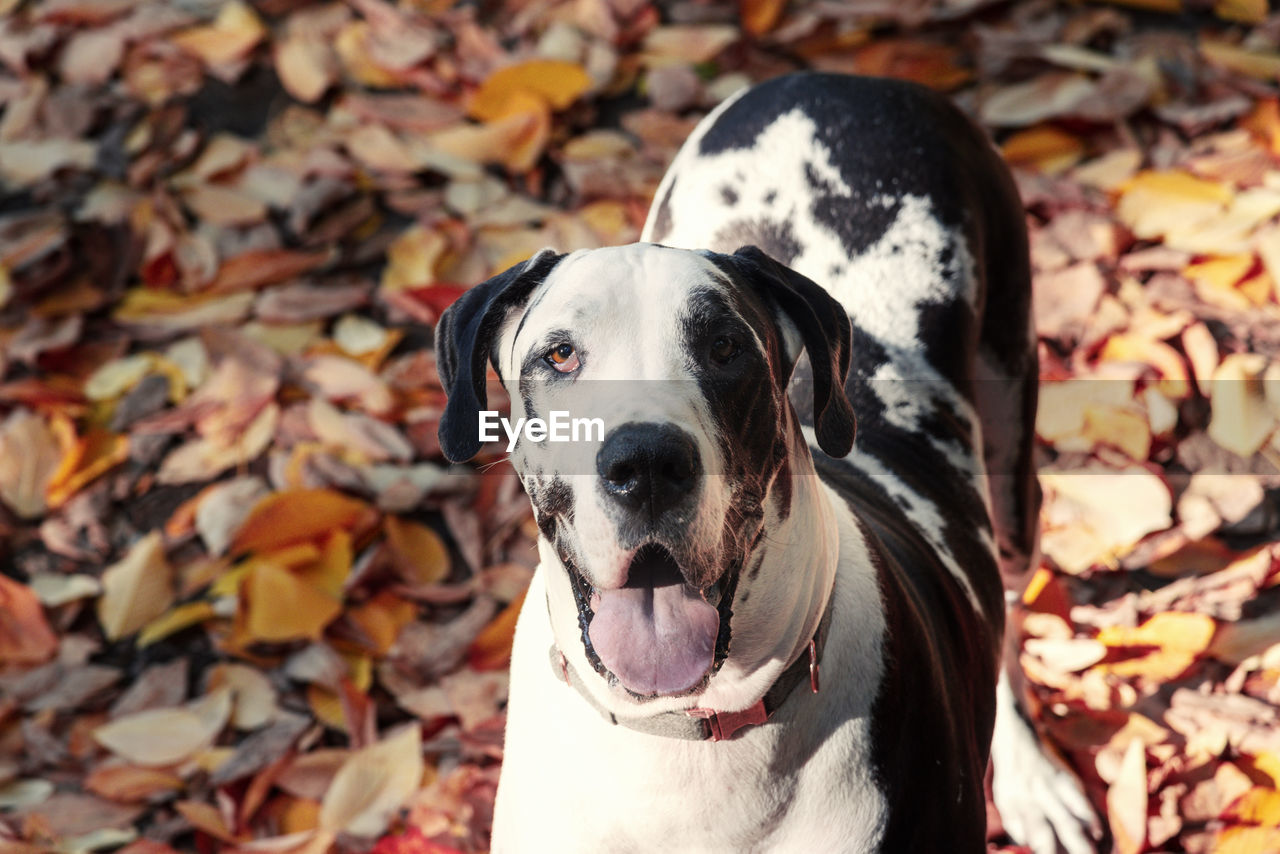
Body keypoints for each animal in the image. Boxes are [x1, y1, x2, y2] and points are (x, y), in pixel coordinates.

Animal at [435, 73, 1095, 854]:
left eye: (725, 347)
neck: (687, 742)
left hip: (1011, 443)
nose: (646, 464)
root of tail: (839, 81)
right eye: (560, 354)